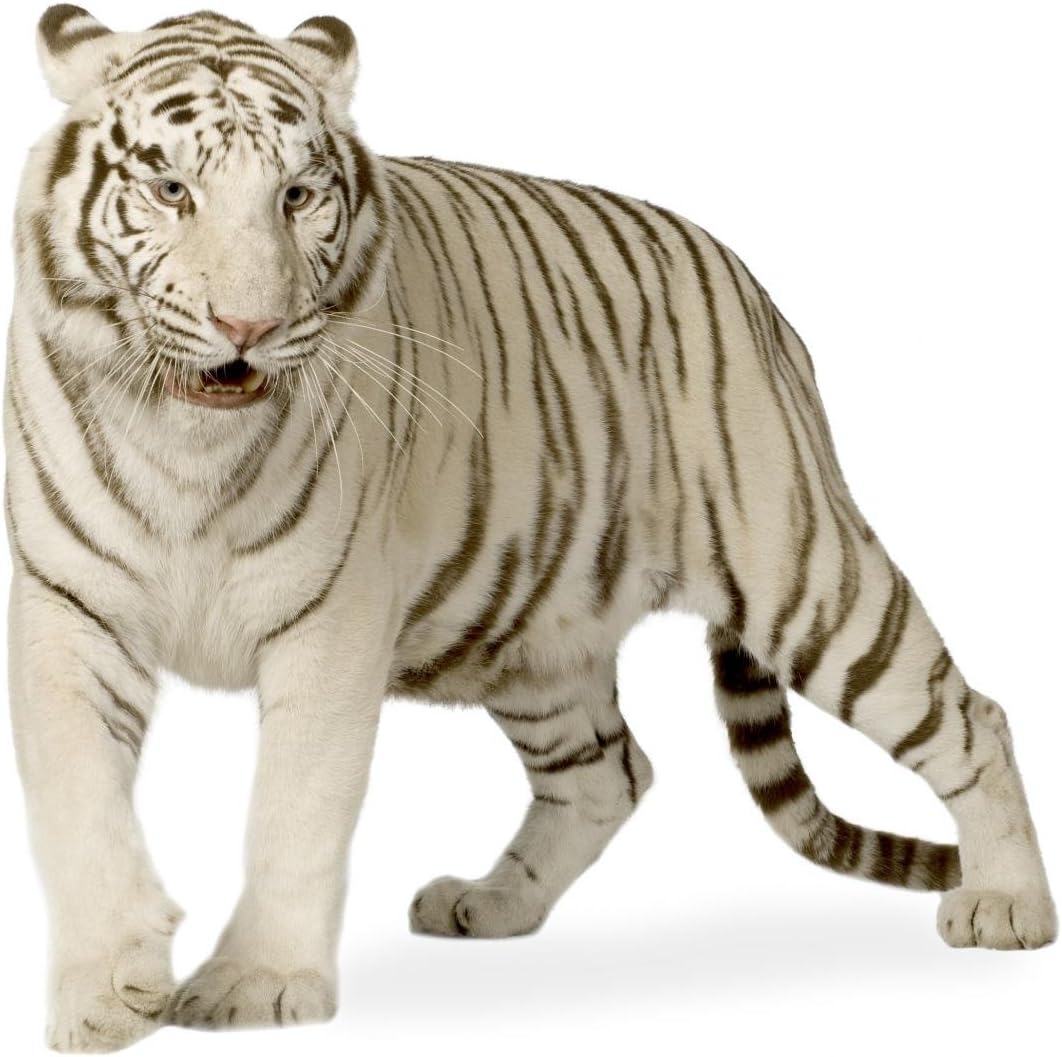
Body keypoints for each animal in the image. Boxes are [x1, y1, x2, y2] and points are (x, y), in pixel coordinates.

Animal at [5, 4, 1056, 1052]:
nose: (248, 327)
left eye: (297, 195)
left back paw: (1007, 903)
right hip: (528, 631)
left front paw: (257, 984)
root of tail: (749, 286)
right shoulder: (68, 611)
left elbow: (292, 810)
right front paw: (106, 992)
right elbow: (78, 804)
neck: (185, 443)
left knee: (973, 715)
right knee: (611, 771)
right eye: (170, 189)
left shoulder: (329, 623)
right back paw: (491, 901)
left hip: (801, 571)